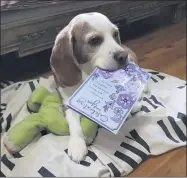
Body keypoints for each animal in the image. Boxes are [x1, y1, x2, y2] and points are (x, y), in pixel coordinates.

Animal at [50, 12, 143, 163]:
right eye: (94, 40)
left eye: (115, 34)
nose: (123, 56)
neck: (87, 73)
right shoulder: (68, 103)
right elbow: (74, 124)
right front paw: (77, 144)